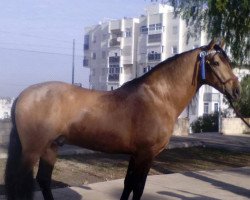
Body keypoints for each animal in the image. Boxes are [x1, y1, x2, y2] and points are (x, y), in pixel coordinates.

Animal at [4, 39, 240, 200]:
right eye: (215, 62)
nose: (236, 91)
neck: (158, 97)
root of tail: (23, 95)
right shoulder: (146, 154)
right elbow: (138, 187)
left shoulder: (135, 155)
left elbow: (128, 185)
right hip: (32, 150)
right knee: (20, 184)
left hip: (51, 147)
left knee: (43, 180)